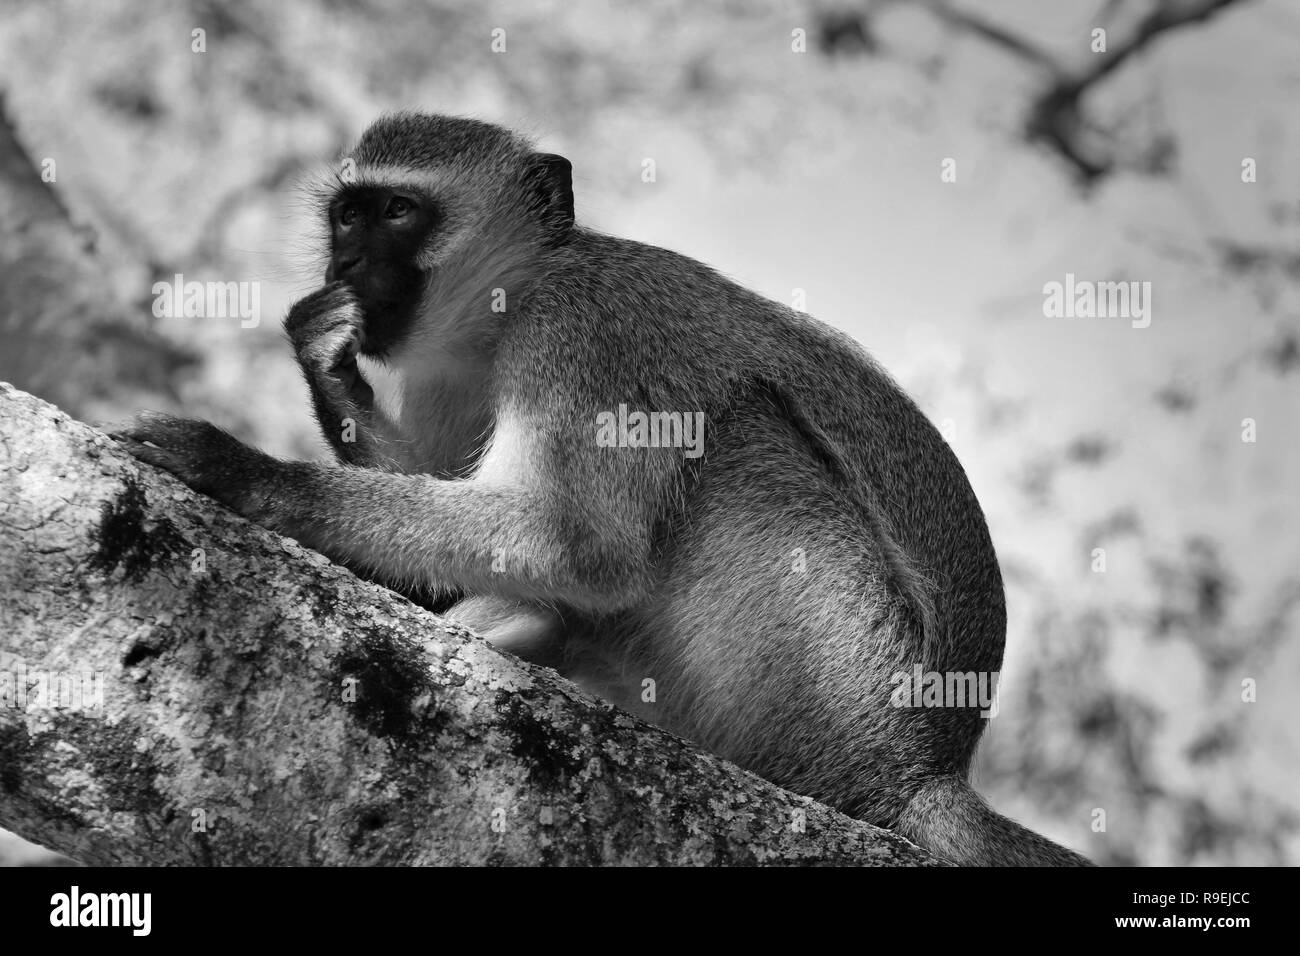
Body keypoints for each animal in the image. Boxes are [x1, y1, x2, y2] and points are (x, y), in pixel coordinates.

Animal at [111, 111, 1092, 868]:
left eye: (397, 211)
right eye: (348, 217)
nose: (347, 266)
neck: (511, 296)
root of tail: (926, 771)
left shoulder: (587, 333)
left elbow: (577, 543)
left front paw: (246, 472)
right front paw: (323, 358)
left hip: (831, 684)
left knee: (733, 440)